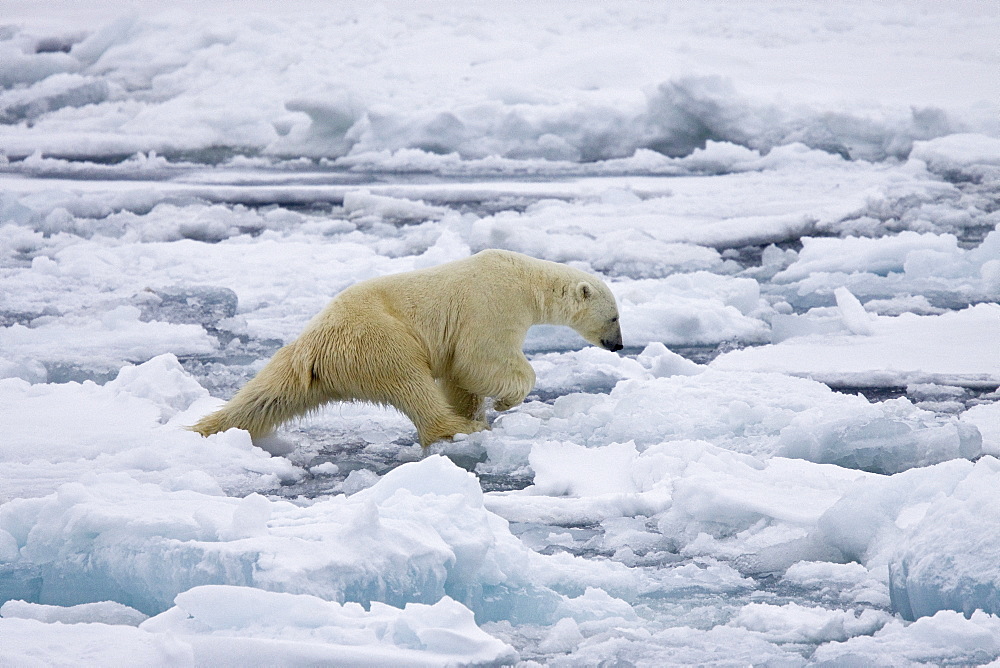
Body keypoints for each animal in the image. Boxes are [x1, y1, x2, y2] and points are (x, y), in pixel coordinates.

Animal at [191, 250, 620, 448]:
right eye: (615, 316)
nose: (619, 345)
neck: (526, 280)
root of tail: (318, 348)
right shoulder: (493, 304)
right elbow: (480, 359)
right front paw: (501, 403)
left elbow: (459, 375)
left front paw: (479, 408)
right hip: (379, 341)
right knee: (411, 383)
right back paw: (460, 427)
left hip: (296, 359)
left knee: (265, 397)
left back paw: (206, 428)